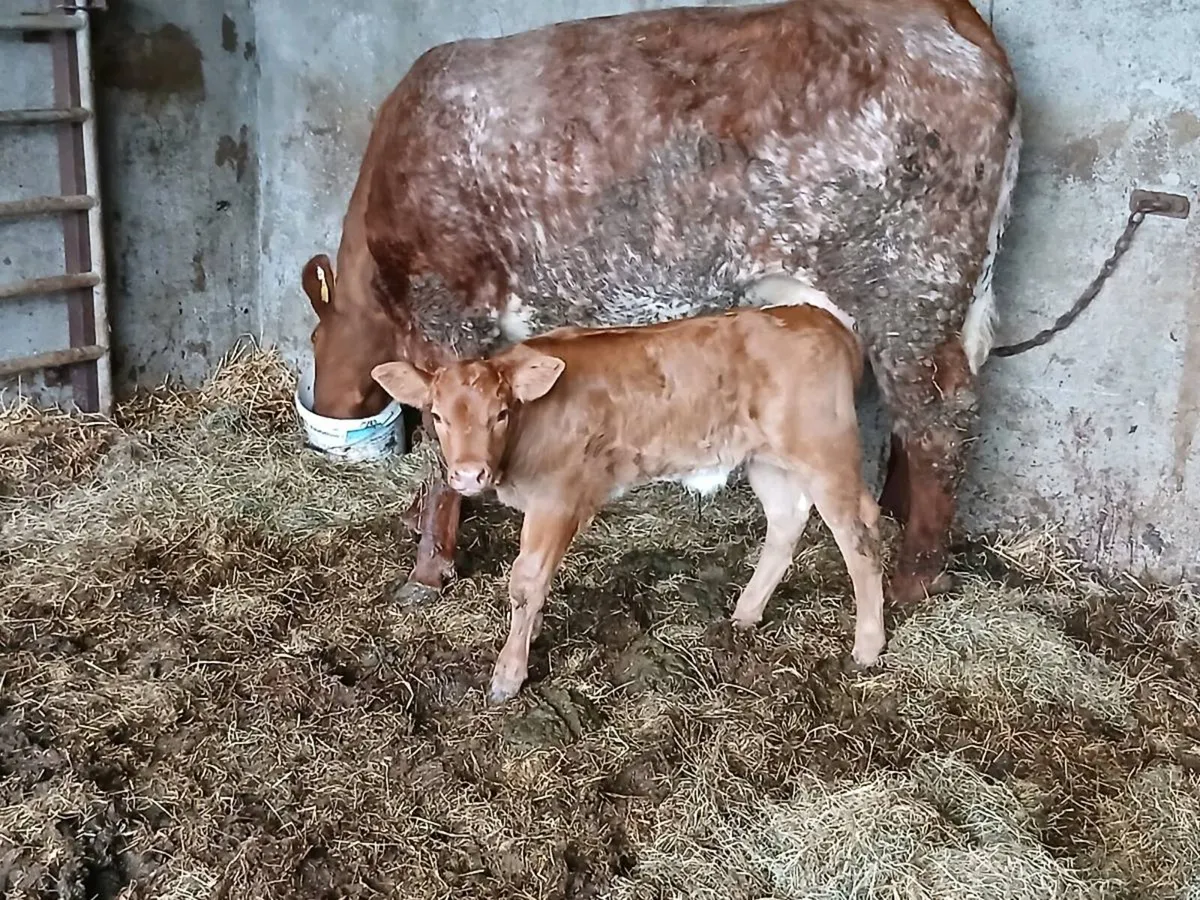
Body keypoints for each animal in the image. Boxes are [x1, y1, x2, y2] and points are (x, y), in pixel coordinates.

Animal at [299, 0, 1021, 607]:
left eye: (311, 341)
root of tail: (952, 14)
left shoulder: (445, 310)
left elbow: (437, 450)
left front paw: (427, 568)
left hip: (909, 282)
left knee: (940, 418)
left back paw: (913, 577)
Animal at [370, 303, 886, 702]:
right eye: (437, 415)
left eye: (500, 413)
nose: (467, 474)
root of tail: (819, 318)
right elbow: (535, 586)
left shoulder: (557, 498)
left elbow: (525, 582)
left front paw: (508, 675)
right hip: (766, 459)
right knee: (785, 521)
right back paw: (745, 615)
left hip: (826, 453)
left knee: (858, 534)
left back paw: (868, 646)